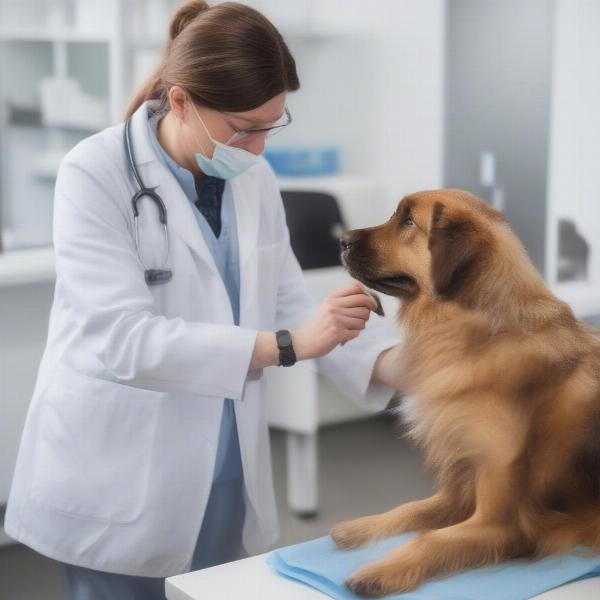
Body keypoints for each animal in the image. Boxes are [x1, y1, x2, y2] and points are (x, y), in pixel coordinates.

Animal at [332, 190, 600, 596]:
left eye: (408, 221)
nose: (342, 240)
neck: (477, 330)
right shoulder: (459, 488)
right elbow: (409, 510)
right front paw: (360, 528)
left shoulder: (500, 522)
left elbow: (431, 538)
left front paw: (380, 570)